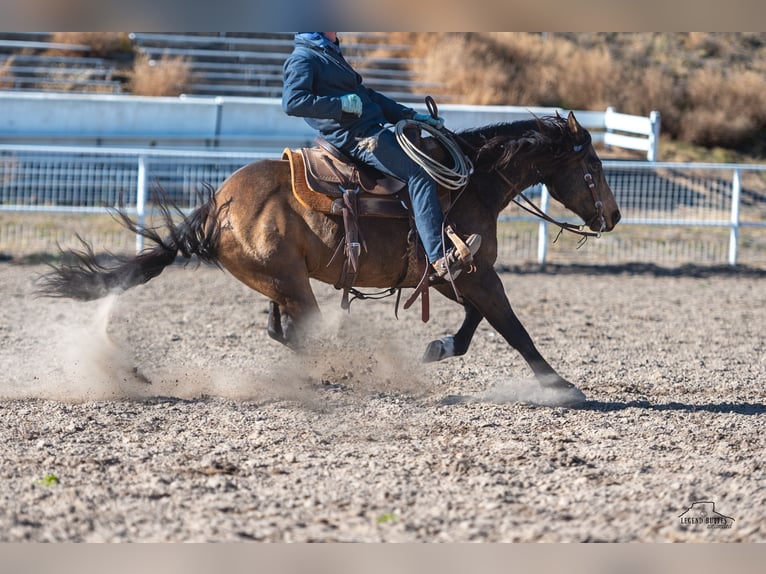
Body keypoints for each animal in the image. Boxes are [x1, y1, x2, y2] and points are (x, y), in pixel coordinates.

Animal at [37, 112, 624, 408]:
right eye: (594, 166)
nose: (614, 216)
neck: (473, 184)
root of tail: (216, 205)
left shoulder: (452, 274)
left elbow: (479, 322)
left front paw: (437, 348)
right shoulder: (474, 273)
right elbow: (513, 326)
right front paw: (560, 386)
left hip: (281, 282)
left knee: (284, 331)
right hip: (291, 282)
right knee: (304, 332)